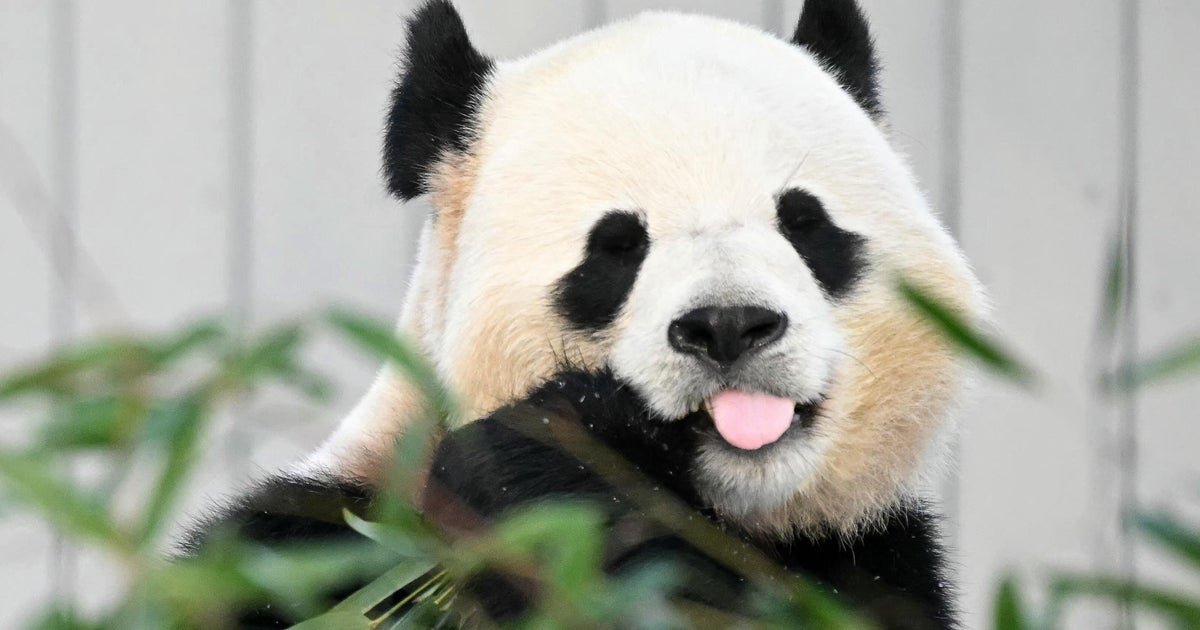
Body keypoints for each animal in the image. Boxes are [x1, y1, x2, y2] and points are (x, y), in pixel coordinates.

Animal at [185, 0, 986, 627]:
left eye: (803, 223)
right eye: (617, 247)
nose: (728, 325)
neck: (738, 511)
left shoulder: (877, 558)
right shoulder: (312, 546)